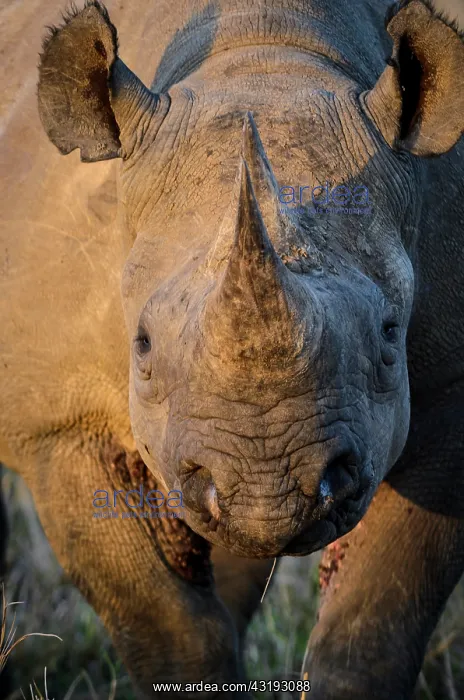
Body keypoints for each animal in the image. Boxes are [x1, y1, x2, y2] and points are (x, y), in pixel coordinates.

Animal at [0, 0, 463, 697]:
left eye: (390, 334)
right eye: (141, 344)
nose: (267, 495)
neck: (265, 49)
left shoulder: (451, 396)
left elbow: (370, 626)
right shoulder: (60, 424)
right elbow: (170, 630)